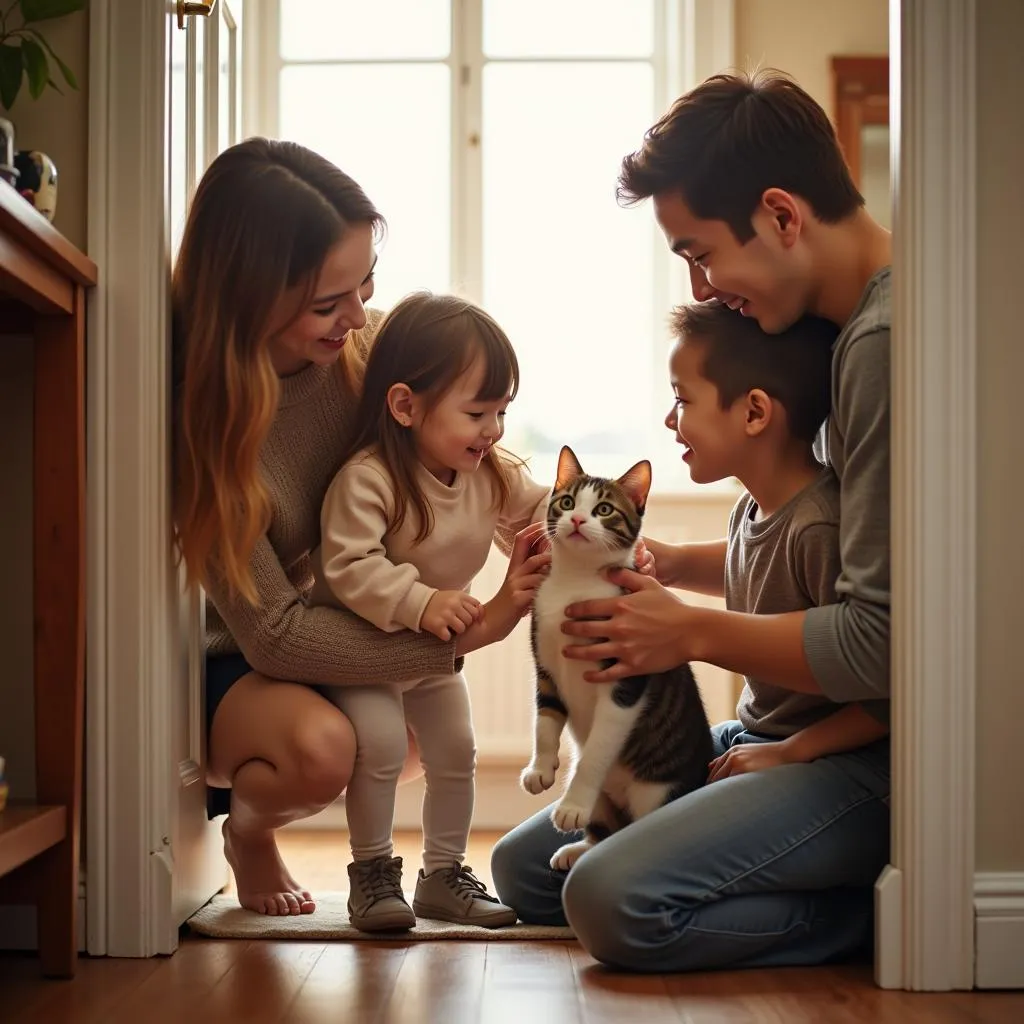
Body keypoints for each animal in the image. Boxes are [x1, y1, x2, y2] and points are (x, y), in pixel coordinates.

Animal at [520, 444, 712, 868]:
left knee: (631, 830)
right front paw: (540, 768)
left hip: (656, 792)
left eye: (604, 509)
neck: (575, 583)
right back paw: (578, 849)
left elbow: (594, 752)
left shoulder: (624, 678)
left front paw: (572, 804)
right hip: (608, 805)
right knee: (606, 831)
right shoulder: (544, 664)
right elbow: (545, 719)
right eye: (567, 501)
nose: (577, 518)